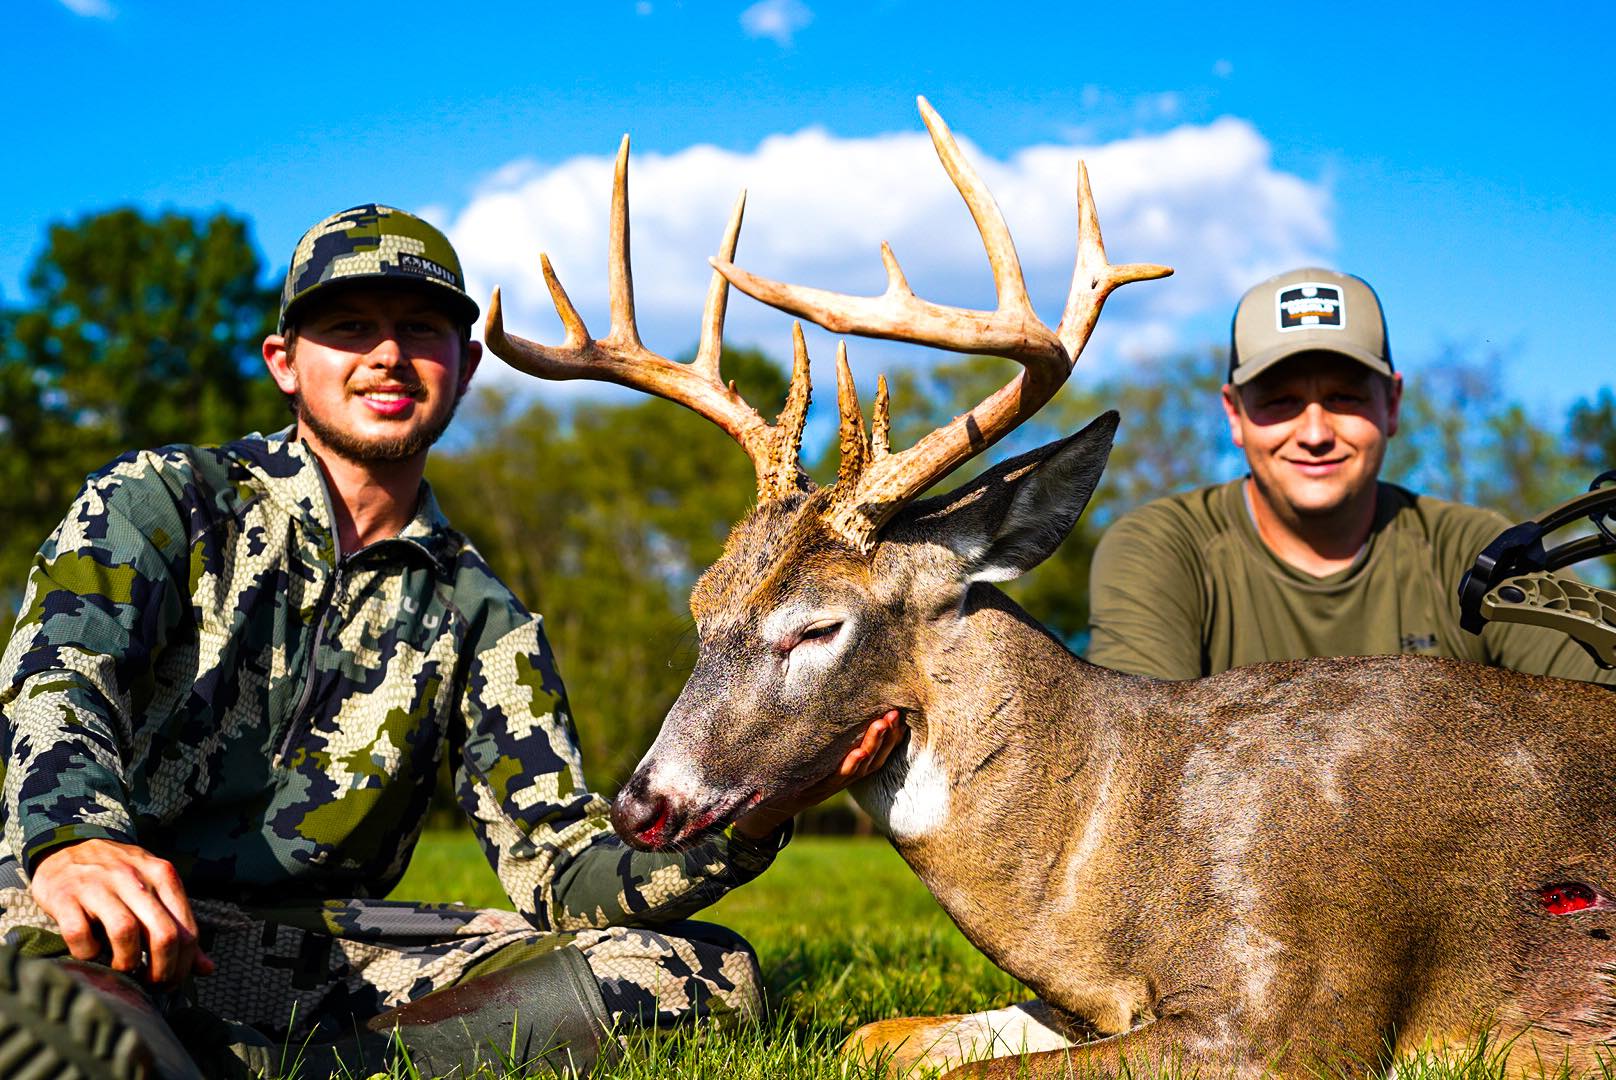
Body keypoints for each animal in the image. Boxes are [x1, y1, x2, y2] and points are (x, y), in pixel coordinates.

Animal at [483, 98, 1616, 1079]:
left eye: (816, 628)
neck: (1110, 861)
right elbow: (877, 1040)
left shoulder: (1294, 1004)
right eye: (698, 608)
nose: (641, 804)